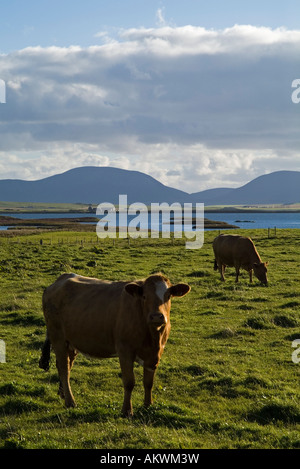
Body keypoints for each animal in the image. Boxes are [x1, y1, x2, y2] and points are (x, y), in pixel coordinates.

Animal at [39, 272, 190, 414]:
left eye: (168, 296)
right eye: (144, 296)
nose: (157, 316)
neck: (152, 337)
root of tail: (60, 279)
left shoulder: (154, 355)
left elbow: (148, 382)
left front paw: (148, 405)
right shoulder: (125, 350)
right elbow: (129, 382)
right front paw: (126, 411)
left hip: (71, 341)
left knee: (66, 365)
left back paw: (63, 394)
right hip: (58, 337)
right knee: (64, 368)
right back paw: (70, 402)